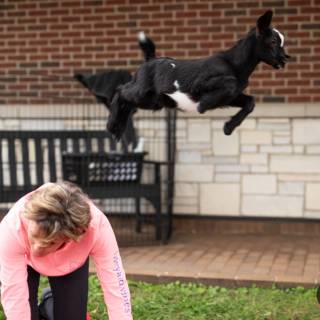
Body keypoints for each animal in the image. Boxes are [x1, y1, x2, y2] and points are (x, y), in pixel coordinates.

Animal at [107, 10, 290, 139]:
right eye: (273, 41)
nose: (284, 59)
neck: (234, 63)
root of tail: (150, 59)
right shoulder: (201, 84)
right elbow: (229, 83)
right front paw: (204, 105)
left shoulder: (230, 97)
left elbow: (250, 102)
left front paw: (228, 127)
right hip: (143, 92)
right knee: (120, 90)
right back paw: (111, 126)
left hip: (153, 101)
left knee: (127, 101)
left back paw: (118, 130)